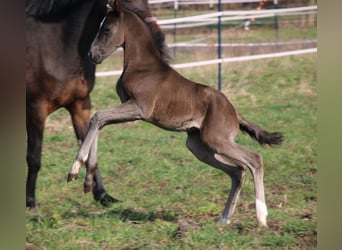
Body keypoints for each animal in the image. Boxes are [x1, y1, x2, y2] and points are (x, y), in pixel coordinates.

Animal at [25, 0, 158, 209]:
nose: (154, 33)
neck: (61, 49)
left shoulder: (80, 106)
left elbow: (87, 146)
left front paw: (102, 195)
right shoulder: (36, 109)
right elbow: (34, 156)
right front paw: (30, 201)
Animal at [67, 1, 284, 228]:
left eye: (107, 29)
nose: (92, 55)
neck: (142, 66)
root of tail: (234, 111)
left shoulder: (139, 108)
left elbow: (97, 117)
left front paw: (74, 169)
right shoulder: (128, 107)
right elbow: (99, 122)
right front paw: (87, 181)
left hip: (216, 140)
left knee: (255, 159)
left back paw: (261, 217)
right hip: (199, 146)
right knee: (237, 171)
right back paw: (224, 219)